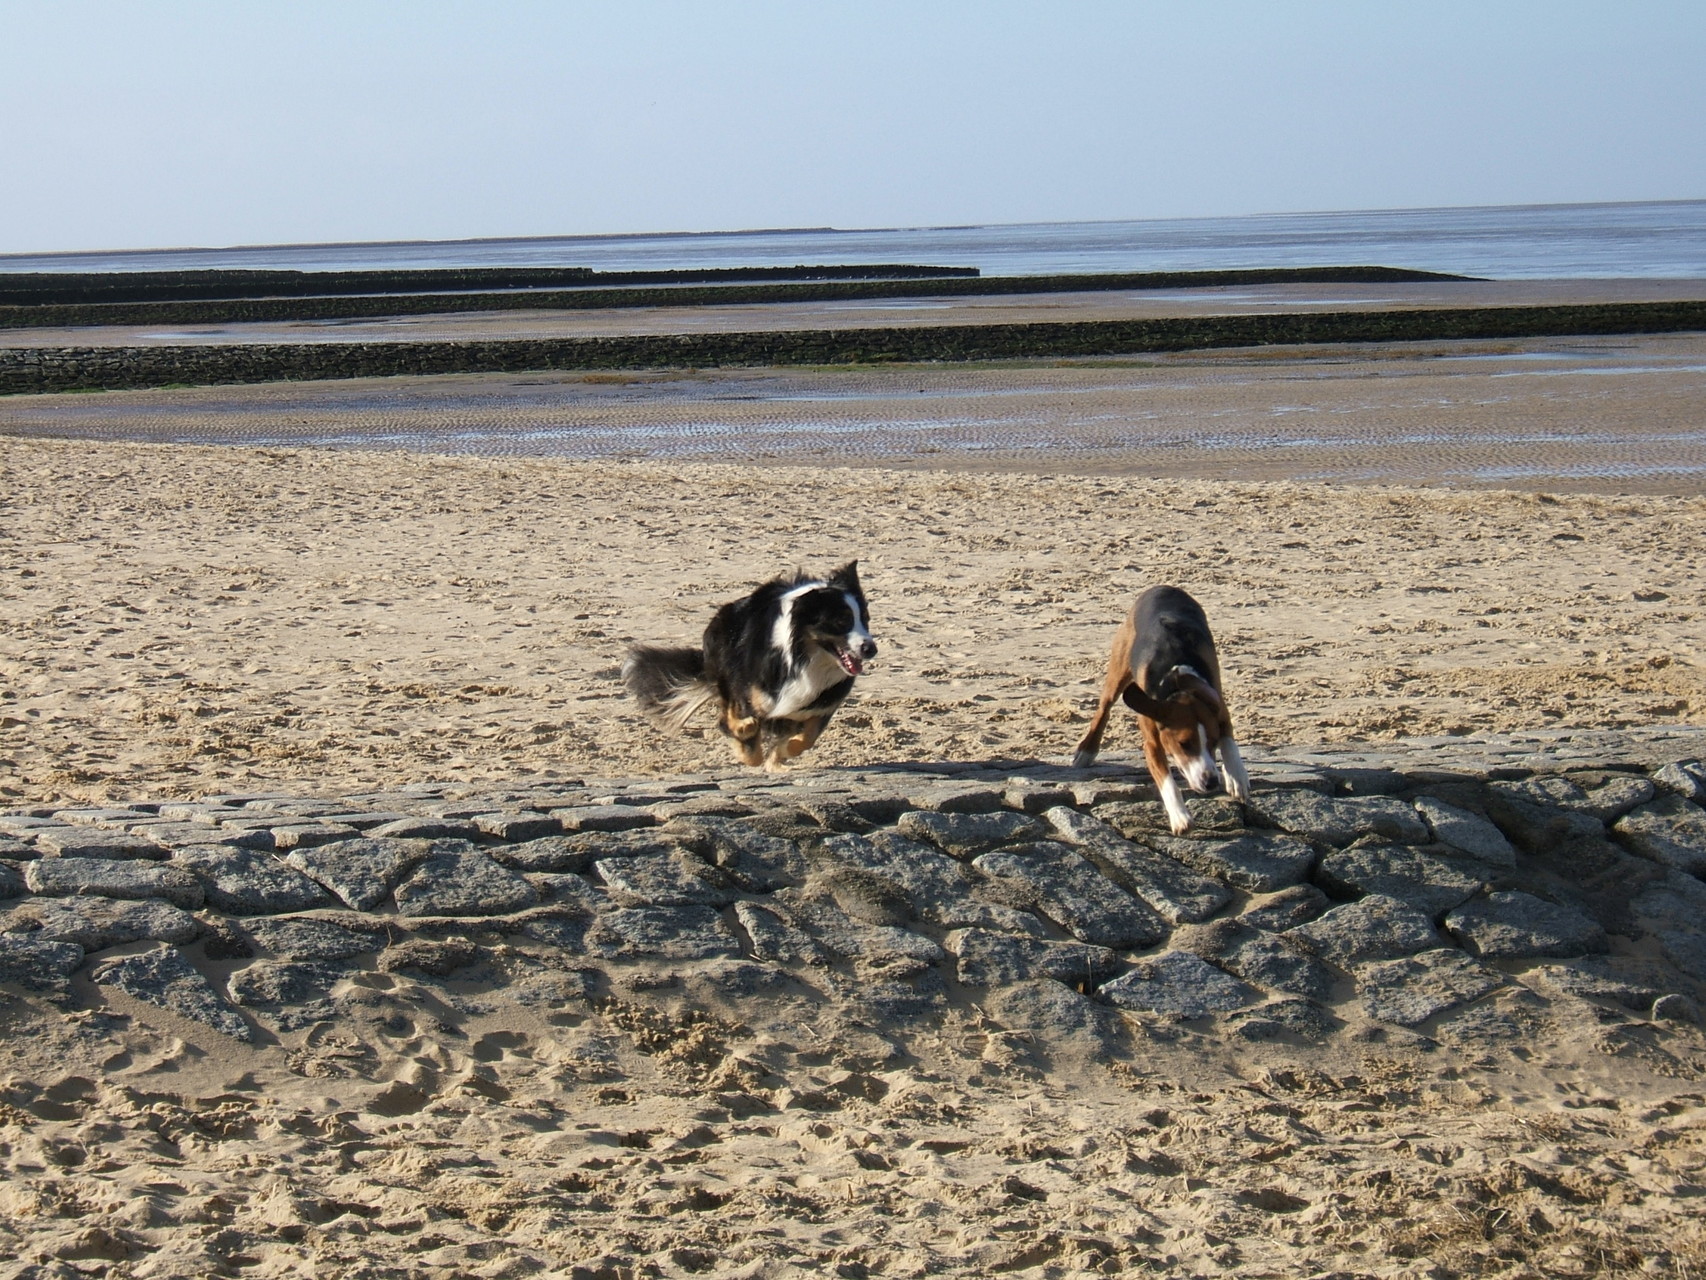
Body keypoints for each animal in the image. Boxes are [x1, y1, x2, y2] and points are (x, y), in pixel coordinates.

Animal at [620, 563, 880, 768]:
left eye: (866, 619)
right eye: (842, 621)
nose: (871, 649)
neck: (802, 657)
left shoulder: (821, 704)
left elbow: (807, 737)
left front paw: (783, 753)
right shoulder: (753, 694)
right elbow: (747, 740)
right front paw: (748, 739)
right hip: (727, 672)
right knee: (727, 715)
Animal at [1071, 587, 1248, 836]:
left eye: (1213, 742)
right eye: (1184, 744)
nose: (1211, 781)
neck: (1177, 682)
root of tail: (1163, 587)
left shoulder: (1217, 702)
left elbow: (1229, 740)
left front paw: (1236, 776)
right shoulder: (1152, 743)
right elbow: (1166, 781)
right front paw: (1180, 817)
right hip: (1118, 670)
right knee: (1104, 709)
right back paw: (1086, 750)